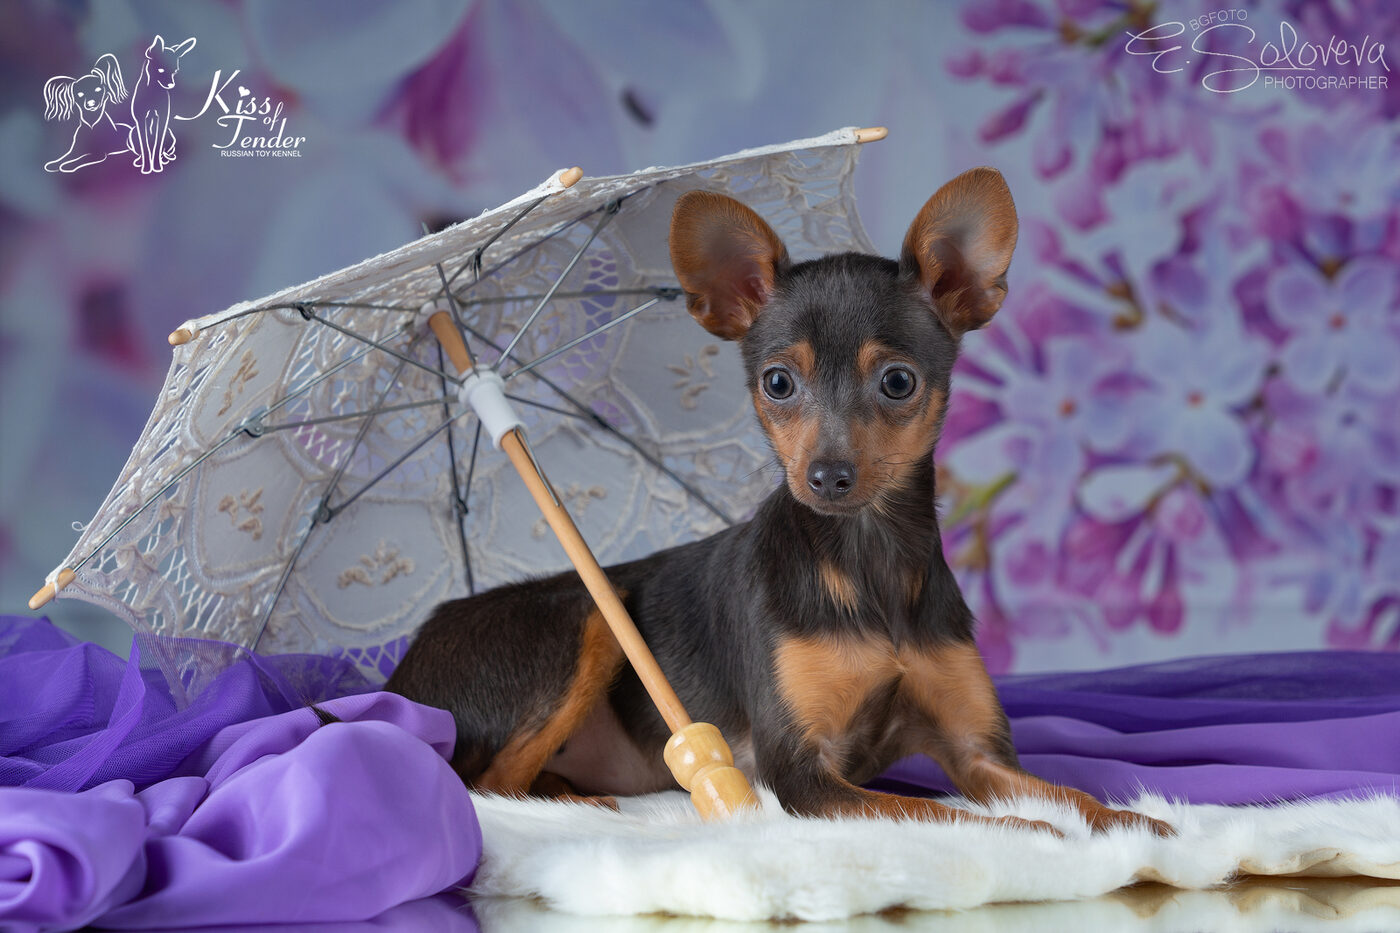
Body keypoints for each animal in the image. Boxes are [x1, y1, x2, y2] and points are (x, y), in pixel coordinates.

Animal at [129, 35, 194, 175]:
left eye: (175, 71)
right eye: (160, 69)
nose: (171, 85)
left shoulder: (163, 120)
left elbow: (157, 146)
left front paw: (157, 165)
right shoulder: (140, 121)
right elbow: (145, 146)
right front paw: (147, 167)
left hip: (169, 133)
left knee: (163, 150)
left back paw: (164, 159)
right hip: (133, 133)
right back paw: (140, 161)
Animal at [388, 168, 1172, 836]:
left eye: (898, 382)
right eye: (777, 382)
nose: (826, 476)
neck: (865, 558)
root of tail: (404, 668)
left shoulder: (977, 753)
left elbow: (1065, 793)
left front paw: (1134, 822)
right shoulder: (800, 772)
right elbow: (951, 817)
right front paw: (1041, 836)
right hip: (591, 616)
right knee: (487, 783)